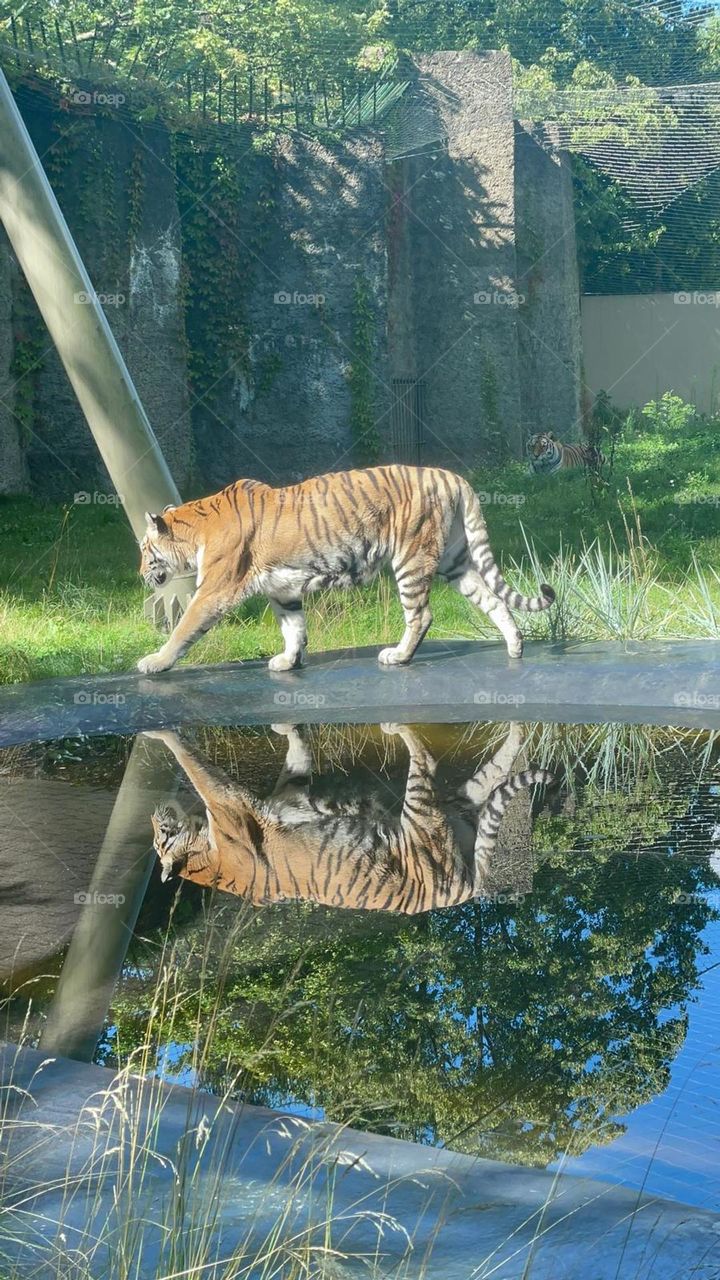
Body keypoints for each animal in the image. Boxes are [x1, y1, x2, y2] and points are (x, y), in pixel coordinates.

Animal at [137, 465, 555, 674]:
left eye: (144, 549)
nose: (140, 573)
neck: (195, 528)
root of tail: (452, 476)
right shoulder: (282, 590)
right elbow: (294, 628)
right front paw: (288, 662)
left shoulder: (214, 590)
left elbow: (184, 628)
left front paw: (155, 662)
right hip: (456, 562)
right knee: (494, 600)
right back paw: (515, 647)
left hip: (411, 557)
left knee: (421, 615)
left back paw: (399, 656)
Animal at [145, 724, 554, 914]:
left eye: (158, 835)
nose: (153, 813)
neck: (203, 855)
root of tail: (465, 889)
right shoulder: (231, 803)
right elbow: (194, 765)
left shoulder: (286, 792)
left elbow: (293, 754)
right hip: (429, 811)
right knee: (431, 758)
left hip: (453, 804)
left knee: (493, 761)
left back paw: (519, 727)